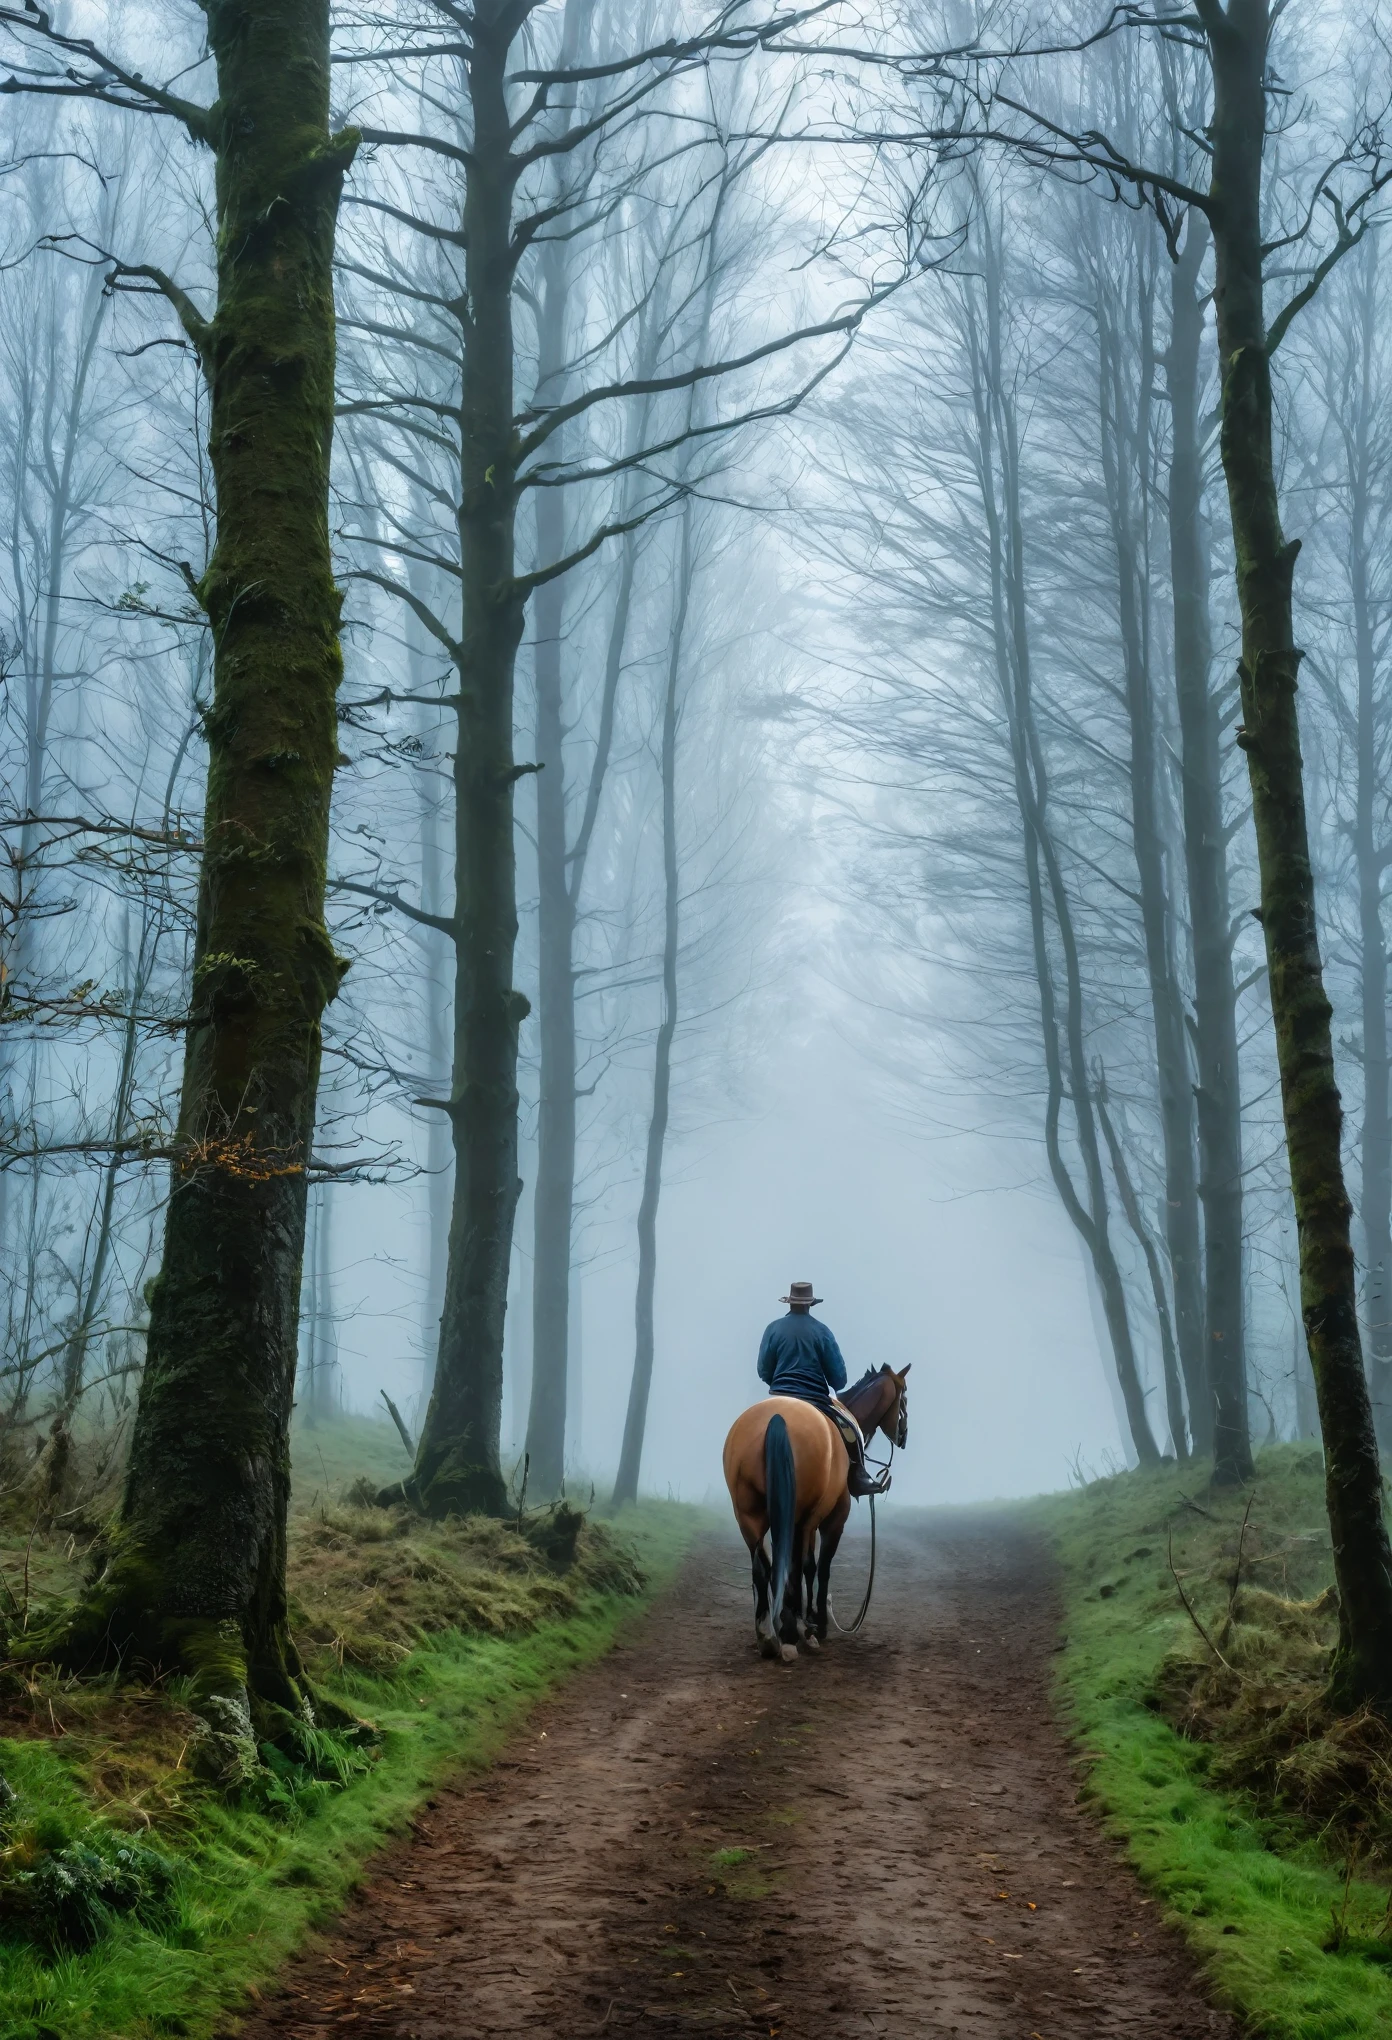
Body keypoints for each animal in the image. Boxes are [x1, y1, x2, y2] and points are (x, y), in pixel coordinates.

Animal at [722, 1354, 906, 1656]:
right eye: (904, 1399)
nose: (903, 1436)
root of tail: (777, 1418)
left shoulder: (805, 1521)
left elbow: (804, 1565)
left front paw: (803, 1620)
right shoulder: (832, 1518)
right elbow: (820, 1565)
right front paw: (817, 1623)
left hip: (748, 1516)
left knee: (764, 1567)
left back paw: (769, 1634)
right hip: (797, 1516)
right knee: (792, 1566)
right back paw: (789, 1631)